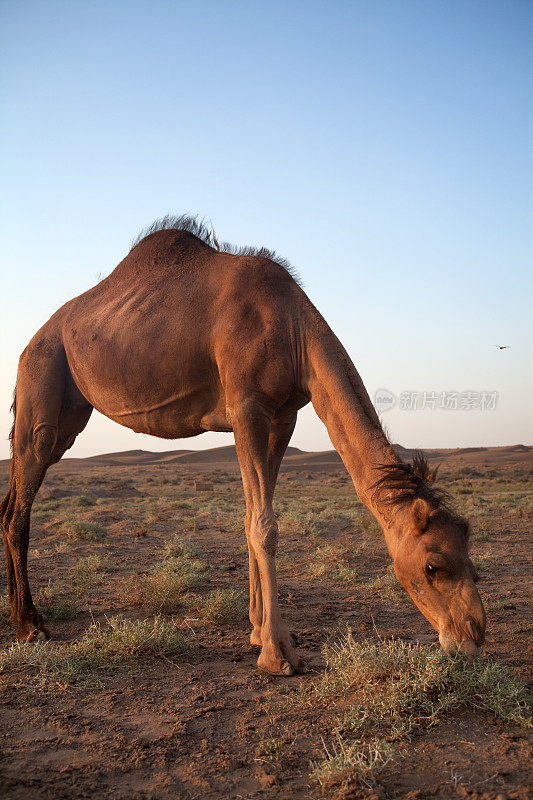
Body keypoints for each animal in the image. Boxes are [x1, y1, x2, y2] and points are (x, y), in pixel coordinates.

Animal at [0, 216, 484, 672]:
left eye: (471, 558)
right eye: (433, 566)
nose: (473, 636)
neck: (293, 329)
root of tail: (32, 341)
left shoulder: (284, 415)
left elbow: (254, 514)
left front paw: (256, 630)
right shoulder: (247, 407)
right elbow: (264, 525)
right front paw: (278, 653)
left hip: (70, 412)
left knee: (11, 501)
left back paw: (20, 616)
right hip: (41, 380)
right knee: (19, 505)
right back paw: (29, 625)